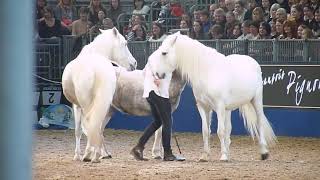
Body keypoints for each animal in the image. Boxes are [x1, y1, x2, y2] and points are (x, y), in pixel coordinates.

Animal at [62, 27, 137, 162]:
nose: (134, 63)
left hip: (87, 105)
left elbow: (78, 130)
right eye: (125, 44)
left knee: (91, 124)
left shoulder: (77, 106)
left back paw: (88, 155)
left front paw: (77, 155)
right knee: (98, 127)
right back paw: (98, 154)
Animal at [146, 32, 276, 162]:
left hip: (256, 100)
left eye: (164, 53)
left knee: (259, 122)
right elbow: (205, 131)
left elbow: (220, 131)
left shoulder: (219, 107)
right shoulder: (204, 107)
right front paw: (205, 156)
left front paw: (223, 156)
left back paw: (263, 152)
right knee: (229, 128)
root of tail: (253, 61)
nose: (157, 74)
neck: (208, 72)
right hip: (228, 109)